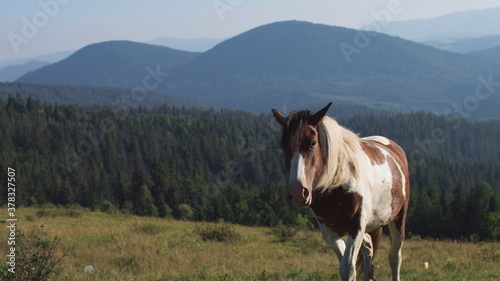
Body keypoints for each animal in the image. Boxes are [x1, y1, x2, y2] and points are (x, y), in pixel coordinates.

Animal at [274, 103, 410, 280]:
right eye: (283, 146)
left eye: (312, 143)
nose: (298, 192)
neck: (337, 186)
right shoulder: (328, 230)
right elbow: (344, 265)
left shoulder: (356, 226)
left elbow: (348, 268)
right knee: (369, 244)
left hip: (398, 217)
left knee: (395, 257)